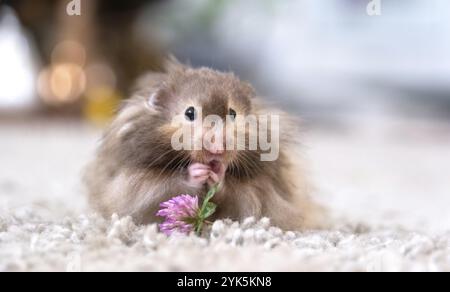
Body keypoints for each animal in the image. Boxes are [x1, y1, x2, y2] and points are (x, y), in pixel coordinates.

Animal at [83, 57, 324, 230]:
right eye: (189, 113)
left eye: (233, 113)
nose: (217, 149)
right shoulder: (141, 184)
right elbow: (172, 183)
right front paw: (198, 171)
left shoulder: (256, 188)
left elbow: (230, 187)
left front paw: (218, 171)